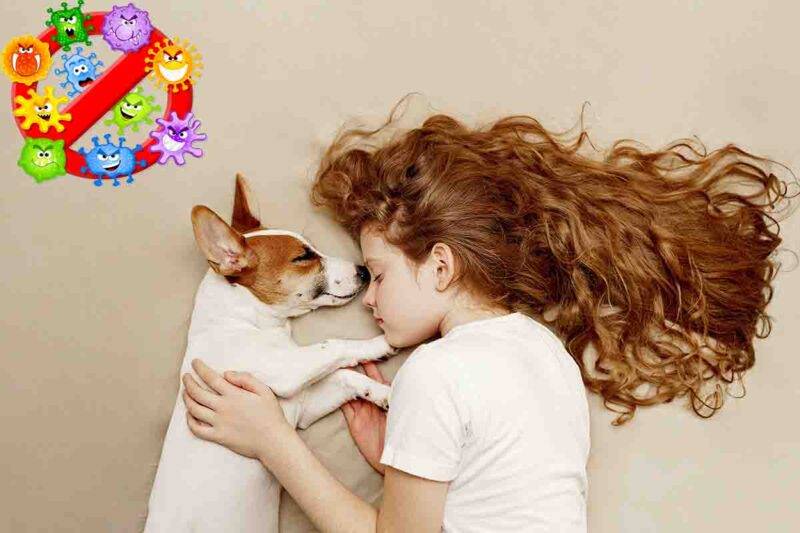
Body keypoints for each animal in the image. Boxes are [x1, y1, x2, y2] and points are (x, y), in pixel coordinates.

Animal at [144, 174, 397, 532]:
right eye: (303, 258)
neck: (246, 320)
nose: (364, 271)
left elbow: (346, 377)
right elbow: (335, 346)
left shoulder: (303, 405)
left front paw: (383, 394)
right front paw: (379, 343)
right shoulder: (287, 370)